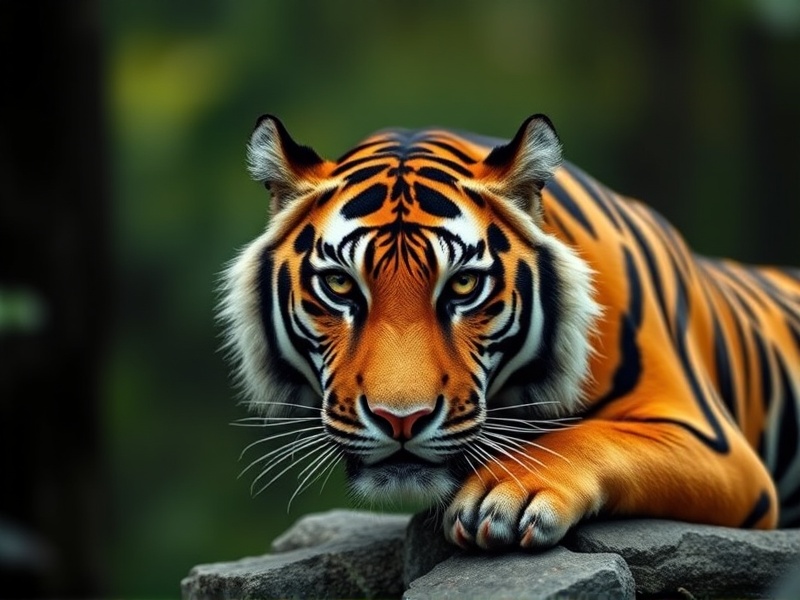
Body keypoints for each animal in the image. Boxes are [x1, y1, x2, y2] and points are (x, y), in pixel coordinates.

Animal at [219, 113, 800, 550]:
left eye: (463, 285)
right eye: (340, 284)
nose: (401, 420)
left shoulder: (717, 444)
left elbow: (590, 435)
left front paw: (504, 494)